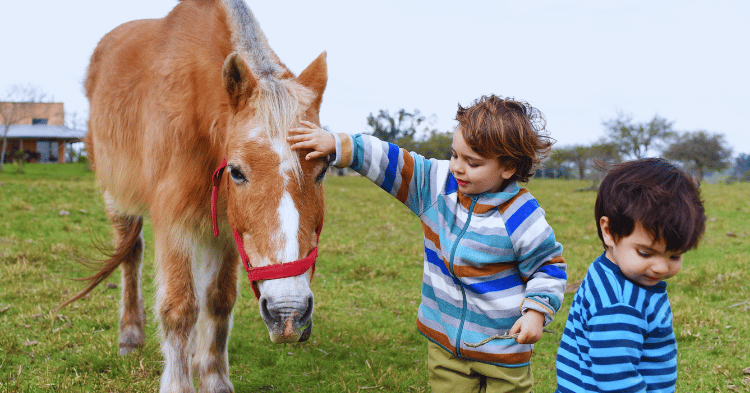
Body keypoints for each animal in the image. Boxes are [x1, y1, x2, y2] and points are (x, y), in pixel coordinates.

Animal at [58, 1, 328, 390]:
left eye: (323, 169)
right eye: (237, 172)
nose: (287, 312)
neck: (198, 109)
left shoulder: (228, 231)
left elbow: (218, 301)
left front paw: (213, 378)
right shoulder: (174, 222)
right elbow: (180, 306)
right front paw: (179, 382)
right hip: (116, 197)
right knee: (130, 252)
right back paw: (130, 335)